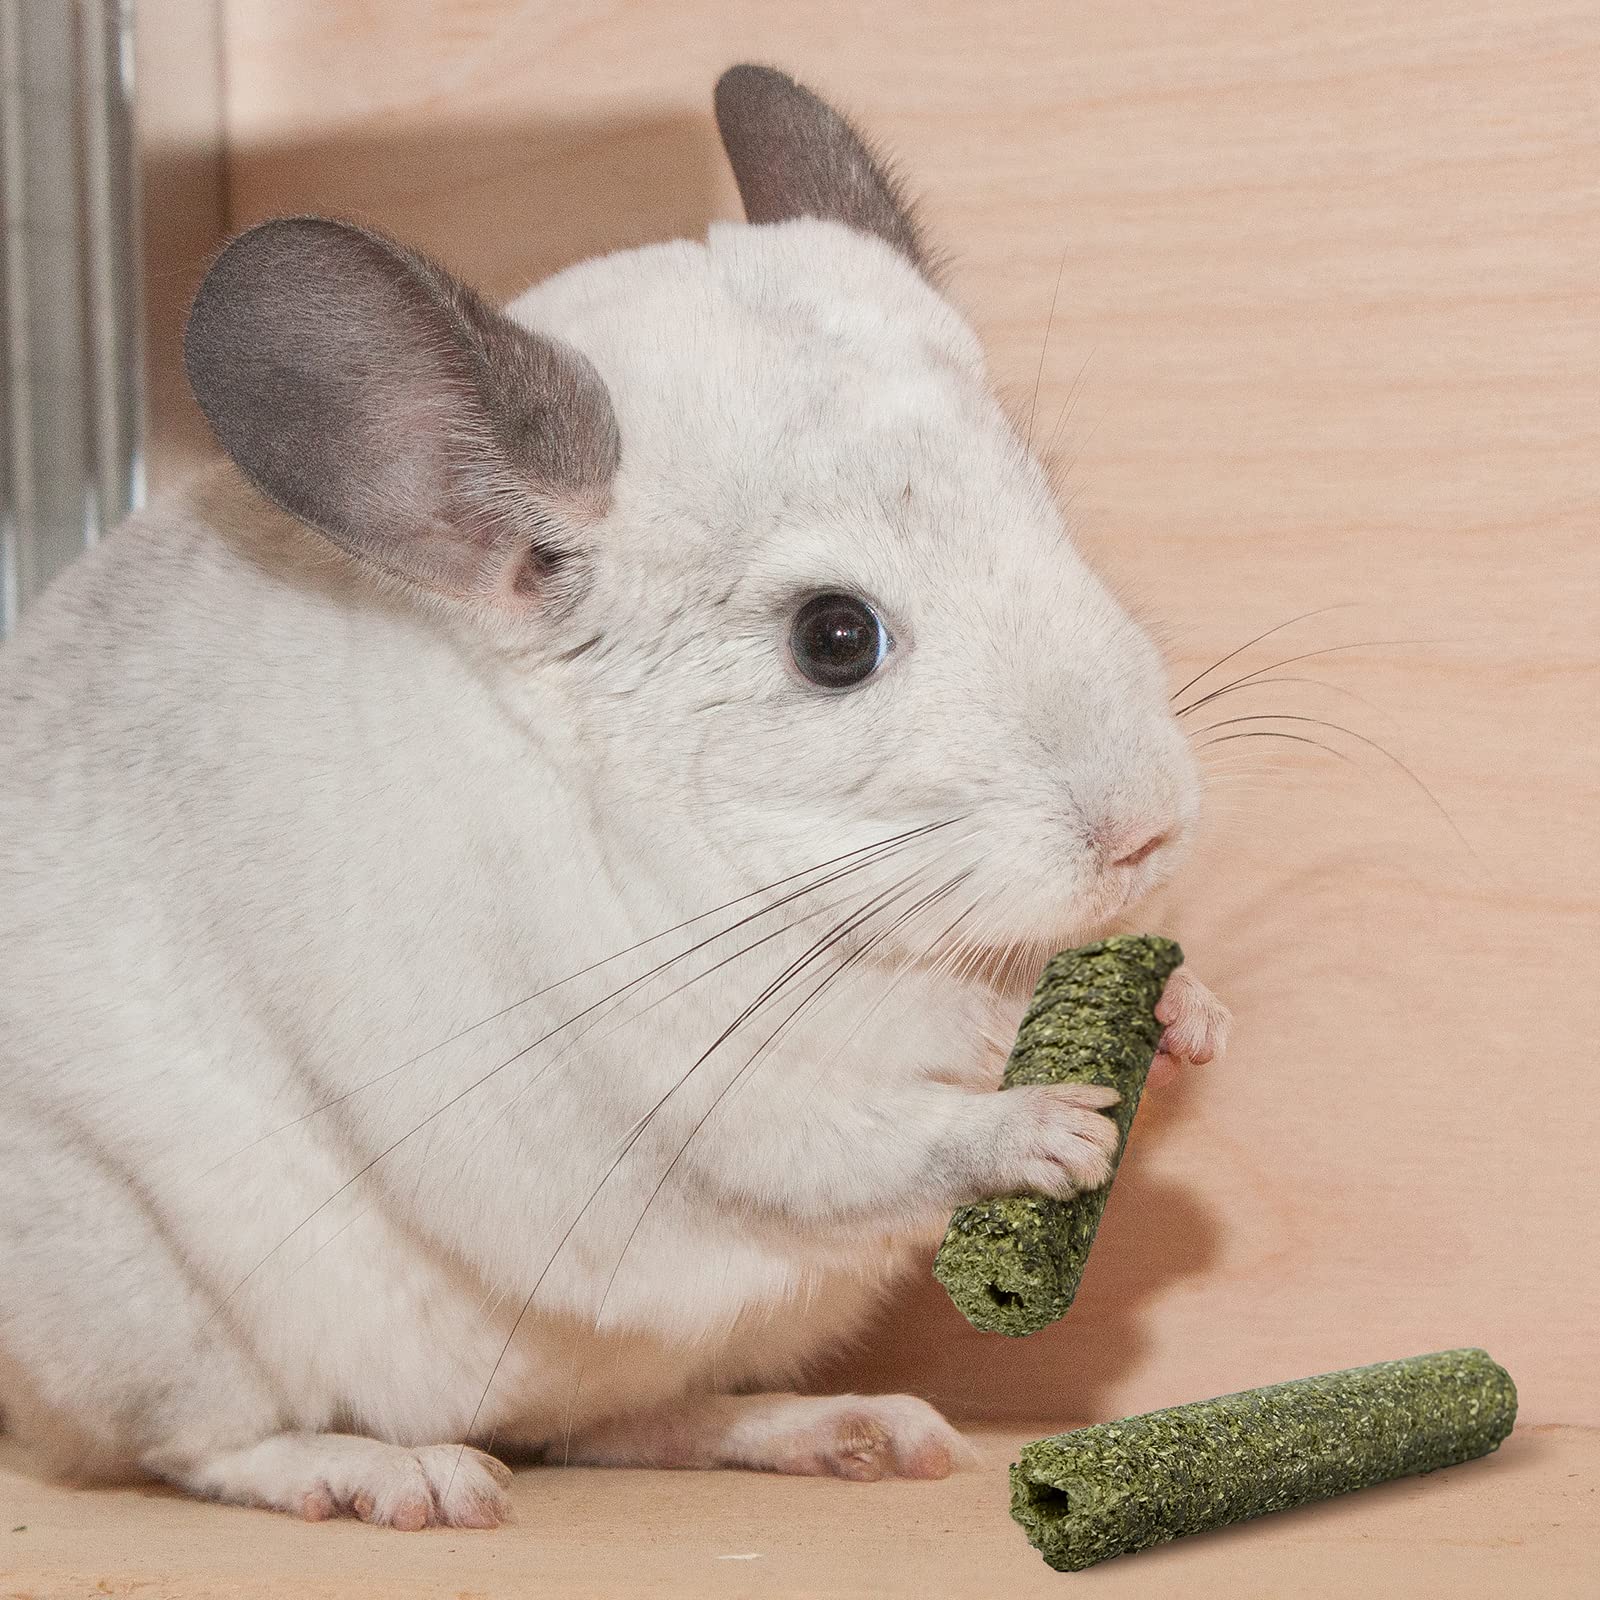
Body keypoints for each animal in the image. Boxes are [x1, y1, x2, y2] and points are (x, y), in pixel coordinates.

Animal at [0, 64, 1229, 1529]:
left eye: (1048, 511)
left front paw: (1188, 1011)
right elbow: (854, 1142)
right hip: (134, 1287)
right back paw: (395, 1476)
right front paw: (1043, 1130)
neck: (817, 903)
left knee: (609, 1428)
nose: (1149, 825)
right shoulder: (670, 1089)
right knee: (196, 1447)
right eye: (834, 638)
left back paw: (831, 1428)